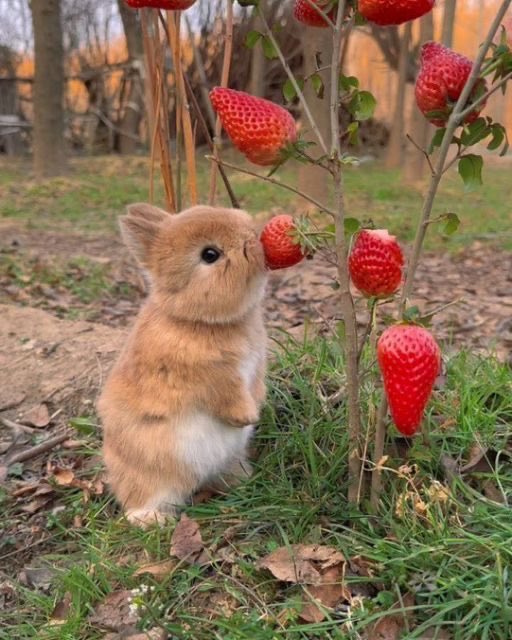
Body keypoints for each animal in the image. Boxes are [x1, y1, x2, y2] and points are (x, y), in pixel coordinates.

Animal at [97, 203, 268, 527]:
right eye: (210, 254)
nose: (256, 237)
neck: (197, 319)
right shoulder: (212, 377)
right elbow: (228, 396)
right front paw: (247, 416)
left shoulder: (254, 369)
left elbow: (255, 388)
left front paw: (257, 407)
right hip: (153, 473)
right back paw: (152, 520)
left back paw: (243, 482)